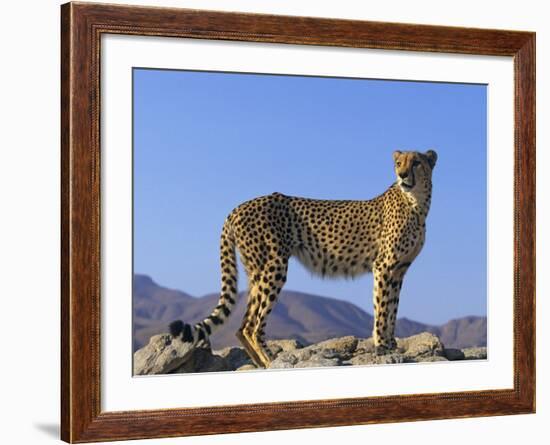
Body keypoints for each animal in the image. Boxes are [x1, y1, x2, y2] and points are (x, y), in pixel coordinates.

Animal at [170, 149, 438, 368]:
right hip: (274, 265)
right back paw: (272, 361)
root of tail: (238, 207)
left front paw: (391, 344)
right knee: (253, 326)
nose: (402, 175)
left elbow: (392, 307)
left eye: (416, 163)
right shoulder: (384, 267)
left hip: (256, 271)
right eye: (398, 163)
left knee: (242, 326)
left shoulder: (399, 269)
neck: (416, 204)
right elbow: (382, 308)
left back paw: (262, 364)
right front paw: (382, 346)